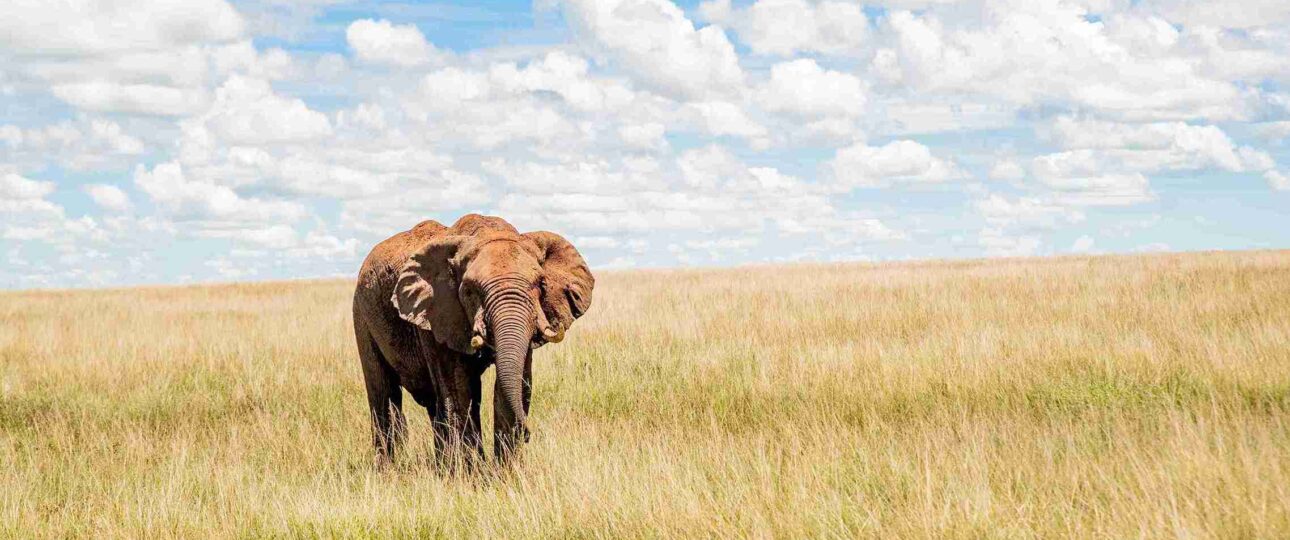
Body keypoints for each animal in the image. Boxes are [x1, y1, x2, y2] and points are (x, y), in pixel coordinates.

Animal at [351, 214, 594, 467]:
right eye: (469, 290)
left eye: (541, 284)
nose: (528, 433)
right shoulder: (438, 317)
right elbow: (459, 390)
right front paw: (472, 473)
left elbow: (516, 384)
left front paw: (506, 471)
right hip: (362, 313)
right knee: (383, 393)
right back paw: (389, 468)